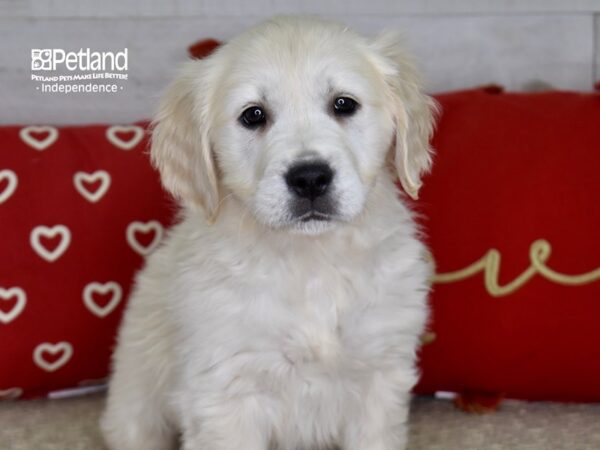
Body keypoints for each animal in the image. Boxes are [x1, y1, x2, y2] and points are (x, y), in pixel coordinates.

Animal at [102, 14, 436, 450]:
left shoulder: (379, 378)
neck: (312, 262)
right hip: (137, 408)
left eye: (344, 104)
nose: (310, 178)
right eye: (253, 115)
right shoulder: (226, 392)